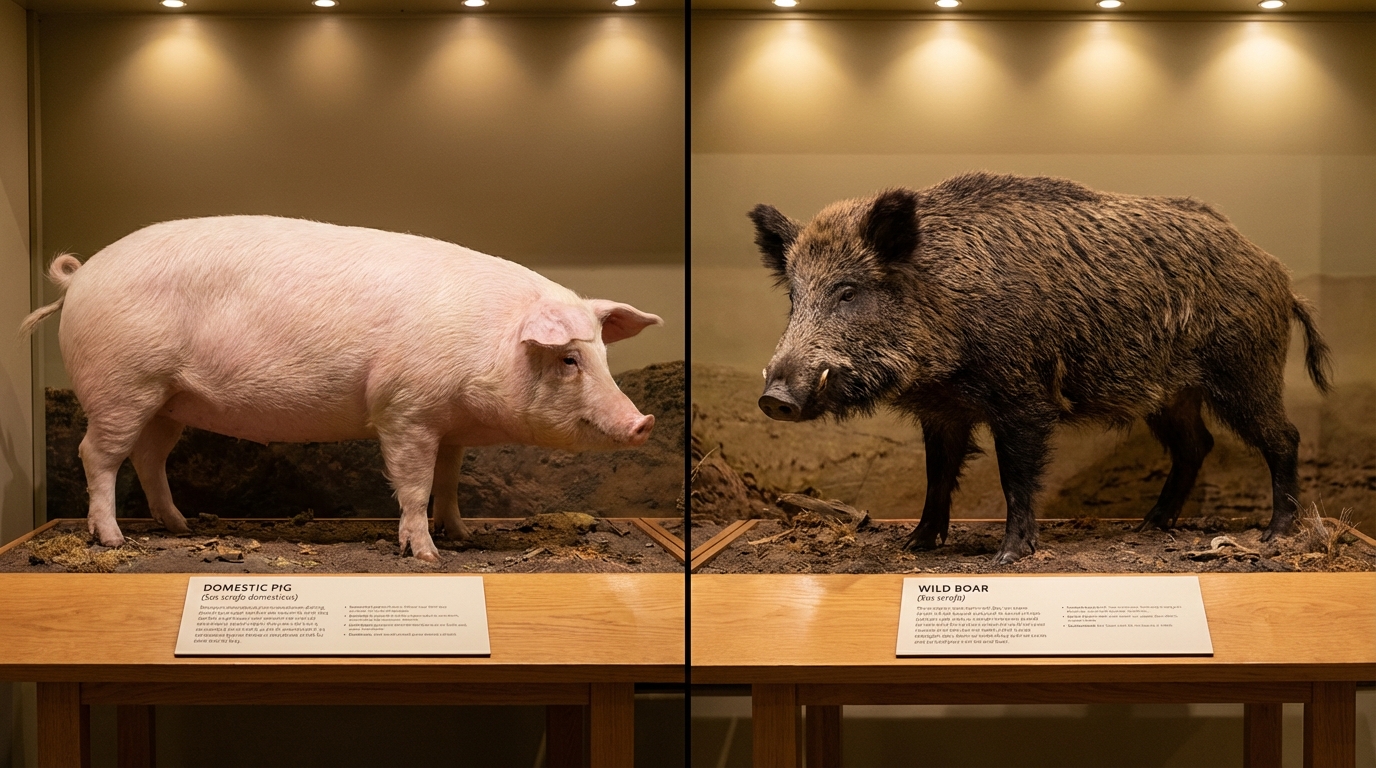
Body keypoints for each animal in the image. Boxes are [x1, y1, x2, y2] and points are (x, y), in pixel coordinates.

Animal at [21, 215, 661, 561]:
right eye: (570, 358)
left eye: (603, 355)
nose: (643, 422)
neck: (487, 345)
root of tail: (80, 278)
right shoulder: (405, 409)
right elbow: (413, 484)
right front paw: (427, 554)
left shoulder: (449, 426)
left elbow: (450, 482)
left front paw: (463, 535)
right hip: (121, 384)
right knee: (97, 455)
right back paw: (112, 542)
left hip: (166, 400)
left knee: (149, 457)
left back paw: (182, 526)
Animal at [751, 172, 1330, 564]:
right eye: (794, 298)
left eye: (848, 291)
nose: (774, 398)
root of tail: (1279, 275)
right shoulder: (942, 410)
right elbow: (938, 473)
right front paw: (916, 545)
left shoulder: (1023, 396)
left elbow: (1015, 474)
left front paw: (1008, 556)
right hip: (1171, 393)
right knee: (1196, 445)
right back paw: (1149, 527)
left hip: (1245, 370)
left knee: (1284, 437)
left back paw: (1274, 535)